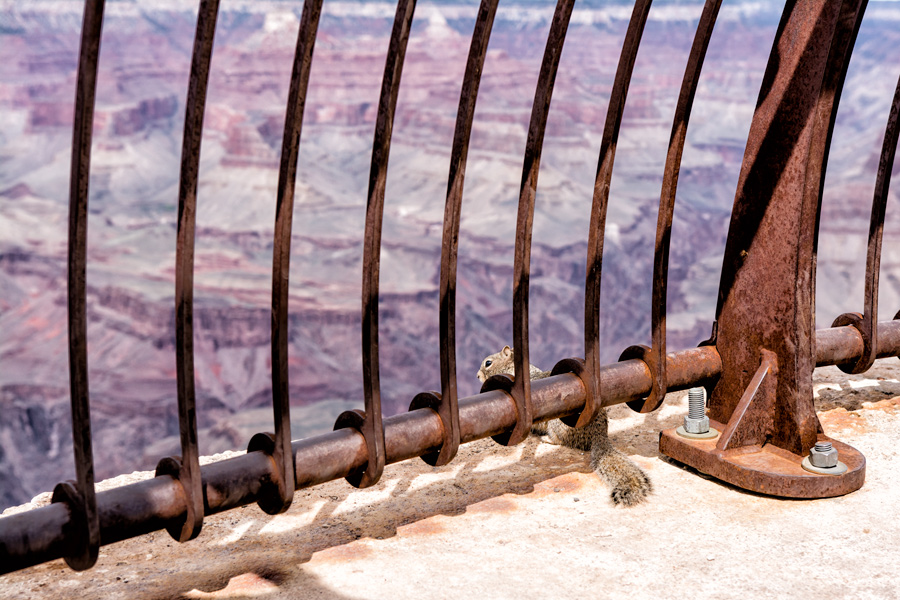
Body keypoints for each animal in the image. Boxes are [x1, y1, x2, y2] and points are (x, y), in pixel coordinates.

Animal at [477, 345, 652, 506]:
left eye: (488, 363)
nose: (477, 375)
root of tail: (600, 434)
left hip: (557, 424)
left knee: (560, 440)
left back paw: (547, 439)